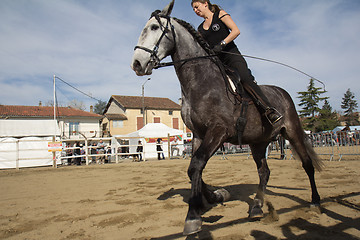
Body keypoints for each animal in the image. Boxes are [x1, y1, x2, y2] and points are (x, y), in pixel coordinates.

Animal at [131, 0, 322, 235]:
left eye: (155, 28)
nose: (137, 64)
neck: (201, 82)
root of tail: (283, 93)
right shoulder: (199, 135)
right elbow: (193, 168)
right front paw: (213, 197)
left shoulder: (218, 132)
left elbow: (196, 165)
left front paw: (193, 216)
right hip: (258, 143)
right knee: (264, 172)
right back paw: (257, 206)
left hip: (293, 132)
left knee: (307, 164)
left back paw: (315, 201)